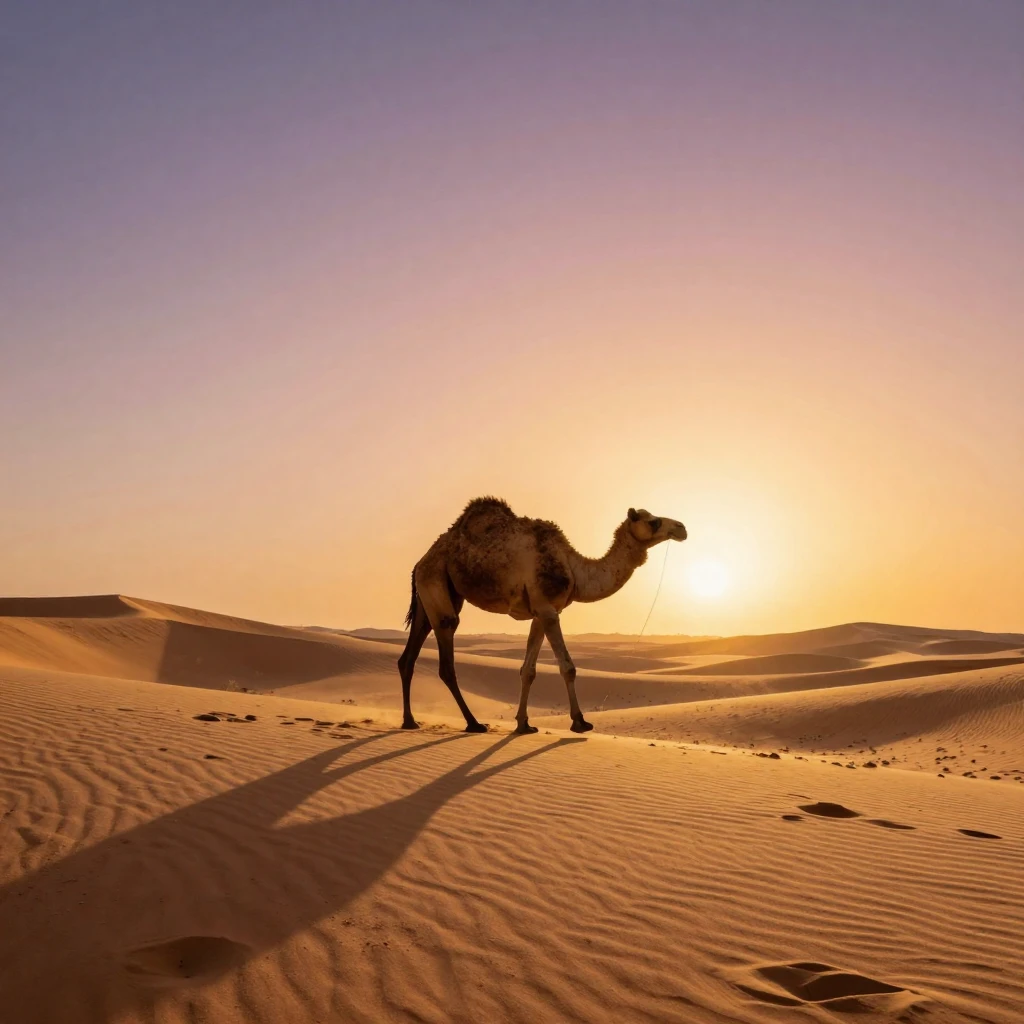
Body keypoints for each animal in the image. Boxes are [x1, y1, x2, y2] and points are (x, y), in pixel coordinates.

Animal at [399, 498, 687, 734]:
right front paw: (580, 722)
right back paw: (474, 723)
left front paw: (524, 724)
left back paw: (410, 721)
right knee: (446, 655)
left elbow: (528, 670)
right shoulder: (549, 611)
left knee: (409, 656)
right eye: (653, 521)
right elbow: (568, 667)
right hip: (436, 584)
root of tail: (419, 562)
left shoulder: (540, 612)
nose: (682, 527)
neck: (574, 567)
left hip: (431, 592)